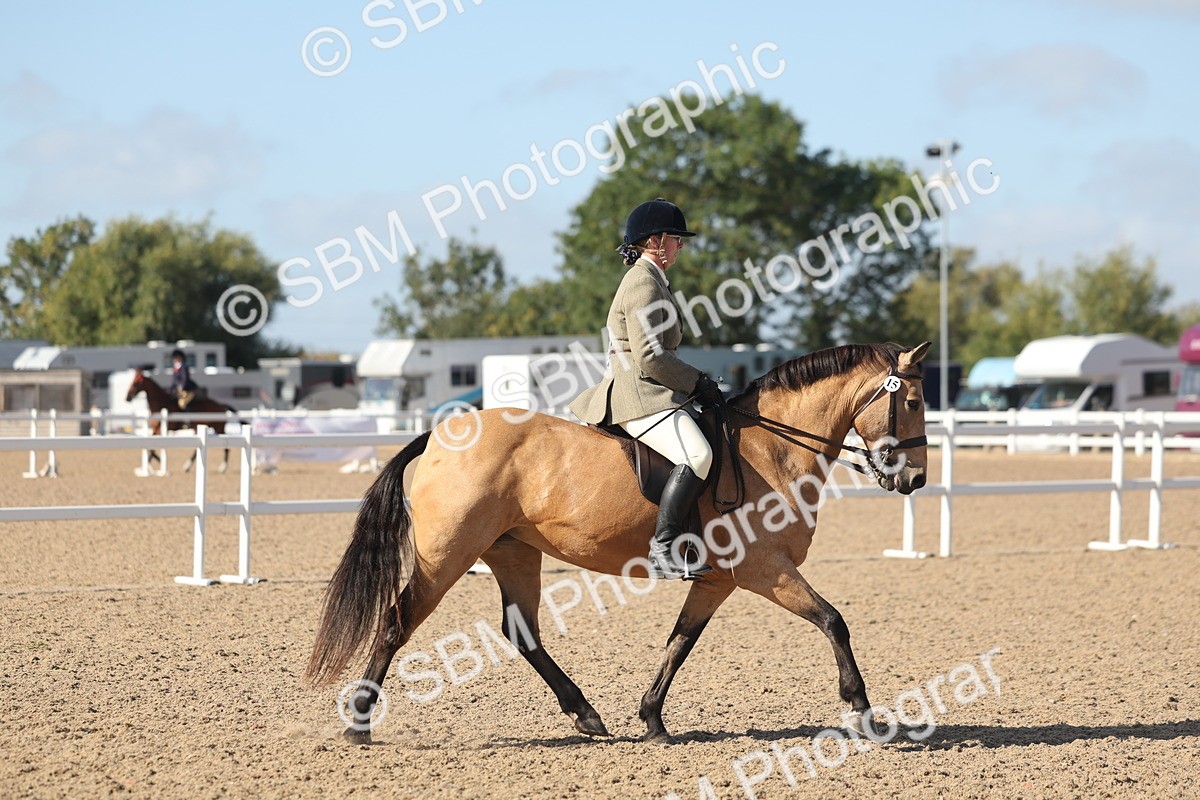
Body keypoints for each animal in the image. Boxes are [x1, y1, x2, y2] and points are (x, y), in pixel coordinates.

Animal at [307, 341, 932, 743]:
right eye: (914, 401)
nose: (915, 480)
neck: (770, 449)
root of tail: (440, 434)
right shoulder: (766, 570)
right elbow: (833, 621)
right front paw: (862, 711)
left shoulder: (718, 580)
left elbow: (680, 643)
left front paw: (652, 719)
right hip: (446, 557)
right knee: (397, 621)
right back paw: (359, 722)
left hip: (512, 552)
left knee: (523, 633)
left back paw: (586, 715)